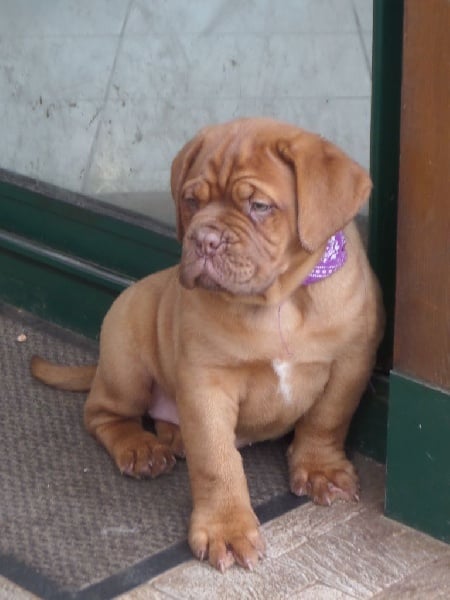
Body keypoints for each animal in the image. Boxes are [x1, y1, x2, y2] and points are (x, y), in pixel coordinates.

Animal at [32, 117, 384, 572]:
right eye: (190, 201)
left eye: (259, 206)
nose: (204, 240)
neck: (280, 302)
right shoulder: (207, 381)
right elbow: (217, 459)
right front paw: (226, 528)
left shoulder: (351, 360)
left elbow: (328, 418)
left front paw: (319, 468)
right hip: (127, 360)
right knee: (103, 414)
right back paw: (141, 447)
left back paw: (174, 437)